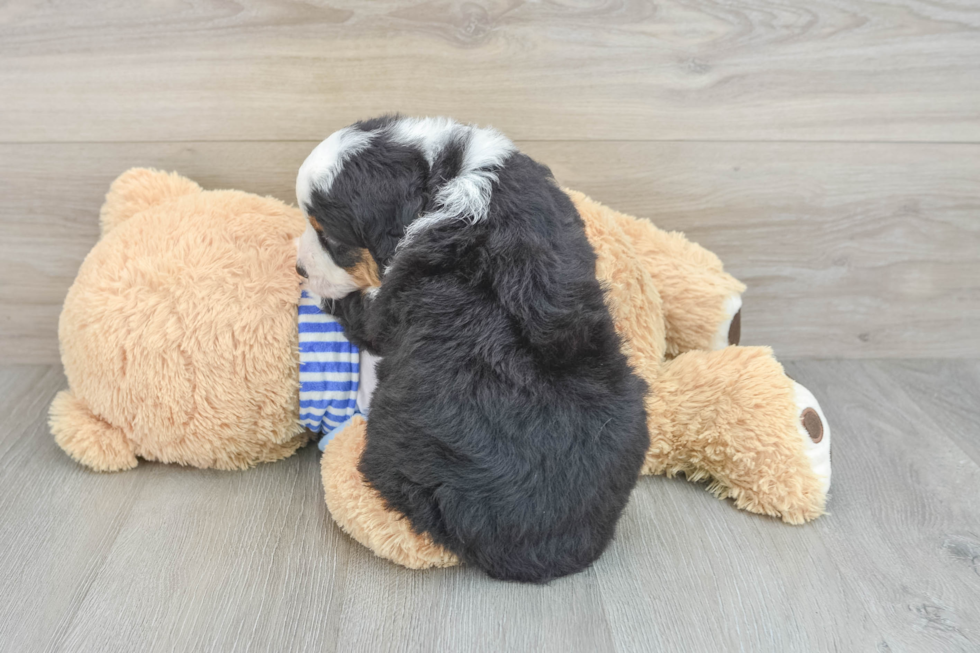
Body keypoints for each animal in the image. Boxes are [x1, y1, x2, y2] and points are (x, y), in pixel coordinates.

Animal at [298, 116, 652, 580]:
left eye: (334, 241)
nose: (298, 267)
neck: (442, 176)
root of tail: (549, 548)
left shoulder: (387, 304)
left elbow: (361, 315)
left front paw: (319, 293)